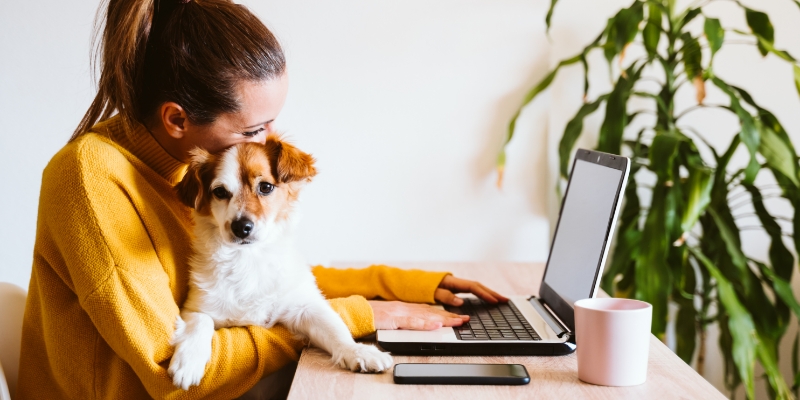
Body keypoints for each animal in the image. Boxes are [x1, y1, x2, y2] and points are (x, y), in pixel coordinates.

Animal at [170, 136, 394, 390]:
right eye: (219, 192)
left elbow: (335, 328)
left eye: (265, 187)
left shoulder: (305, 307)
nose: (241, 227)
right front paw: (188, 361)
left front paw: (358, 351)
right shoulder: (196, 307)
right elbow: (199, 323)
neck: (249, 259)